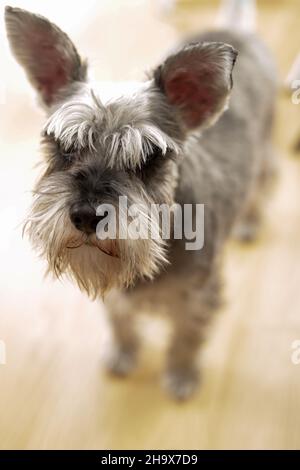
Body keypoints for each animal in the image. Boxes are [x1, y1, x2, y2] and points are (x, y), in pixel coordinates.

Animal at [4, 0, 276, 398]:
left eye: (150, 158)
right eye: (64, 146)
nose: (86, 215)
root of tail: (234, 30)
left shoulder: (199, 297)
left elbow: (186, 337)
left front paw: (181, 374)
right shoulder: (116, 296)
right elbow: (121, 322)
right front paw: (122, 353)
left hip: (264, 149)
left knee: (264, 181)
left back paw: (251, 221)